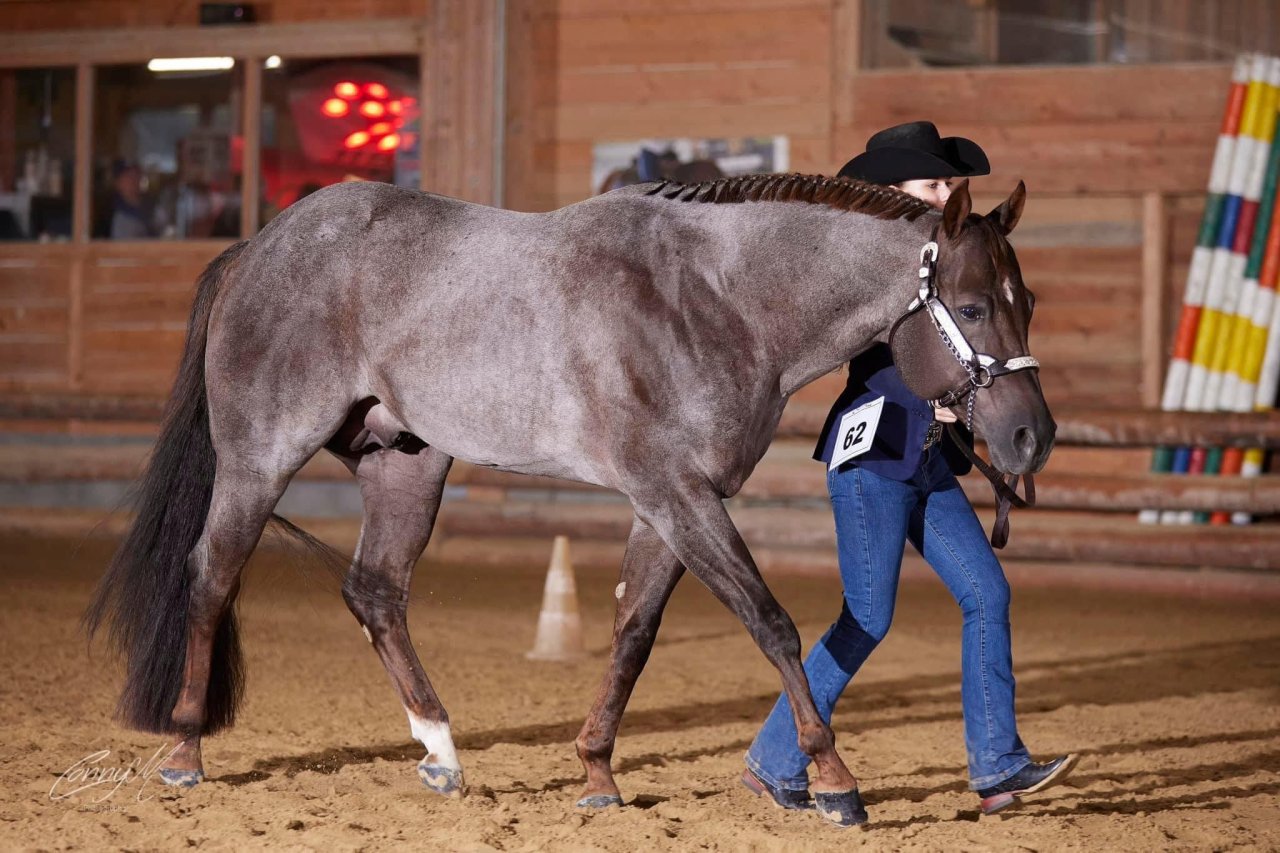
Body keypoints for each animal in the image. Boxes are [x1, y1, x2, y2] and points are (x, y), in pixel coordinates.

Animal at [84, 172, 1051, 827]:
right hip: (260, 456)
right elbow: (770, 621)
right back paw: (184, 750)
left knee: (375, 591)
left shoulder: (668, 501)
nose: (1030, 438)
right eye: (970, 304)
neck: (713, 298)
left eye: (1028, 299)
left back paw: (441, 753)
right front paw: (836, 781)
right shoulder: (676, 490)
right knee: (212, 573)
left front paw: (596, 774)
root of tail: (259, 246)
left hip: (405, 463)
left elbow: (633, 632)